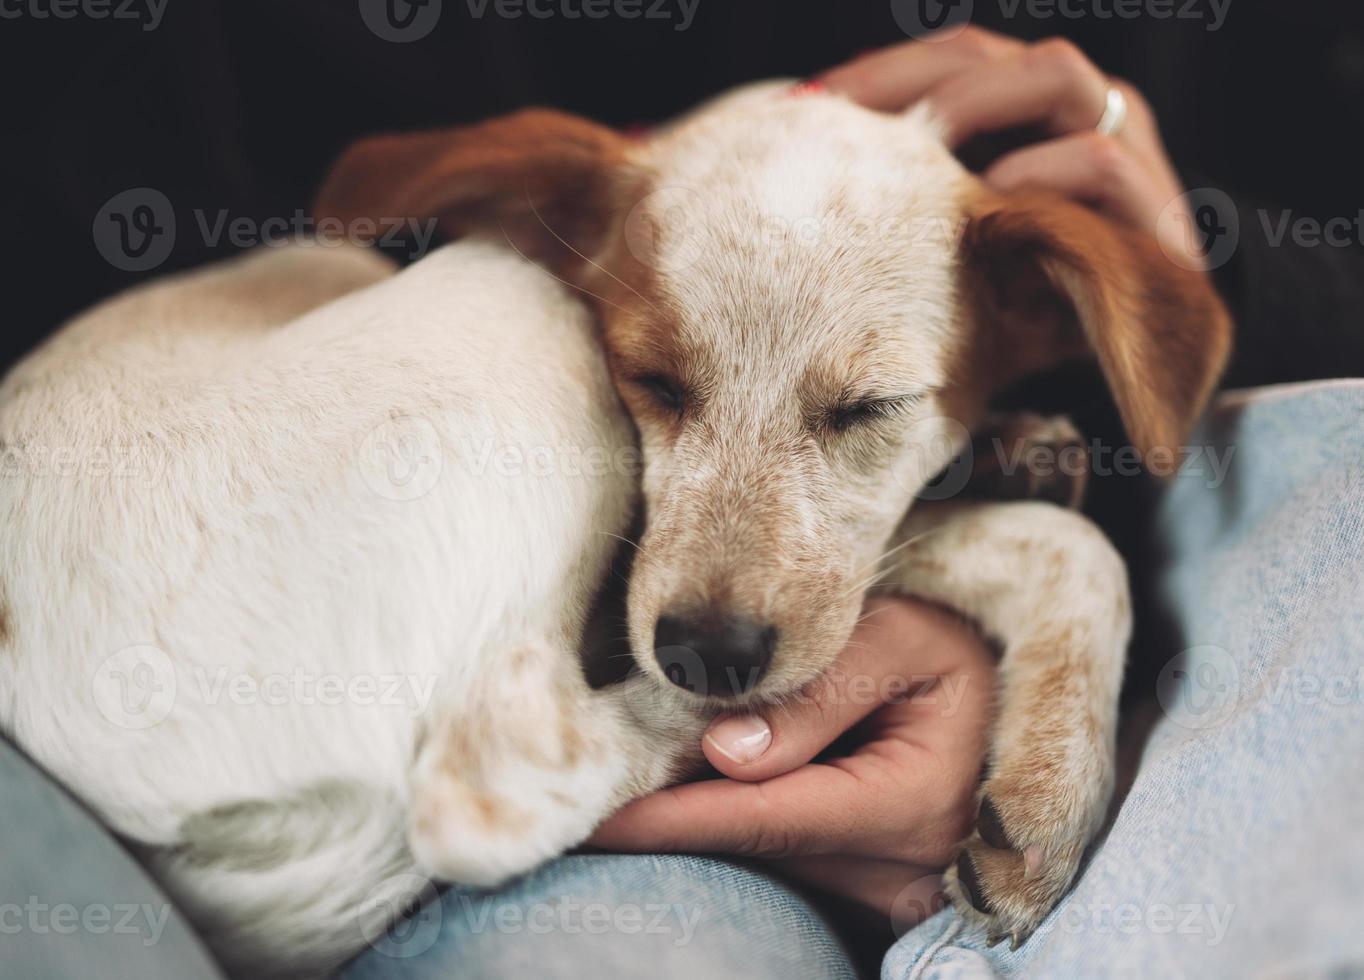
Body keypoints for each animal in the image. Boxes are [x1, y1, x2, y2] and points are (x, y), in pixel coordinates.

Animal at [0, 82, 1233, 977]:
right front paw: (1054, 789)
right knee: (489, 789)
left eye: (866, 409)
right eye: (652, 378)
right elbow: (1048, 555)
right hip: (520, 317)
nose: (706, 654)